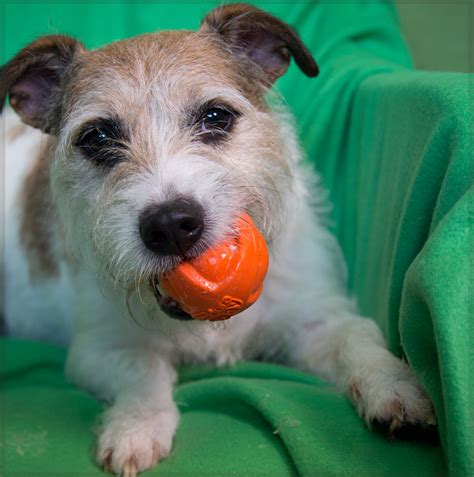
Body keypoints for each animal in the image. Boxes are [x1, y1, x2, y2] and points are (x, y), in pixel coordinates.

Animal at [0, 4, 436, 476]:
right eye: (97, 137)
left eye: (215, 116)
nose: (171, 224)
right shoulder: (97, 349)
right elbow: (144, 369)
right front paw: (137, 425)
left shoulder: (314, 318)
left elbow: (354, 337)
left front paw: (394, 385)